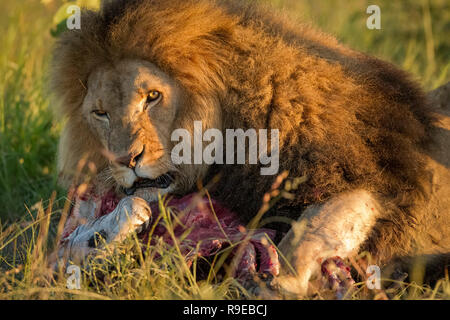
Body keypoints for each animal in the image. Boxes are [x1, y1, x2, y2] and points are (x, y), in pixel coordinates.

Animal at [51, 0, 448, 296]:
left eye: (152, 97)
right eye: (101, 113)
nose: (125, 159)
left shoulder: (372, 177)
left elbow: (309, 232)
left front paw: (281, 282)